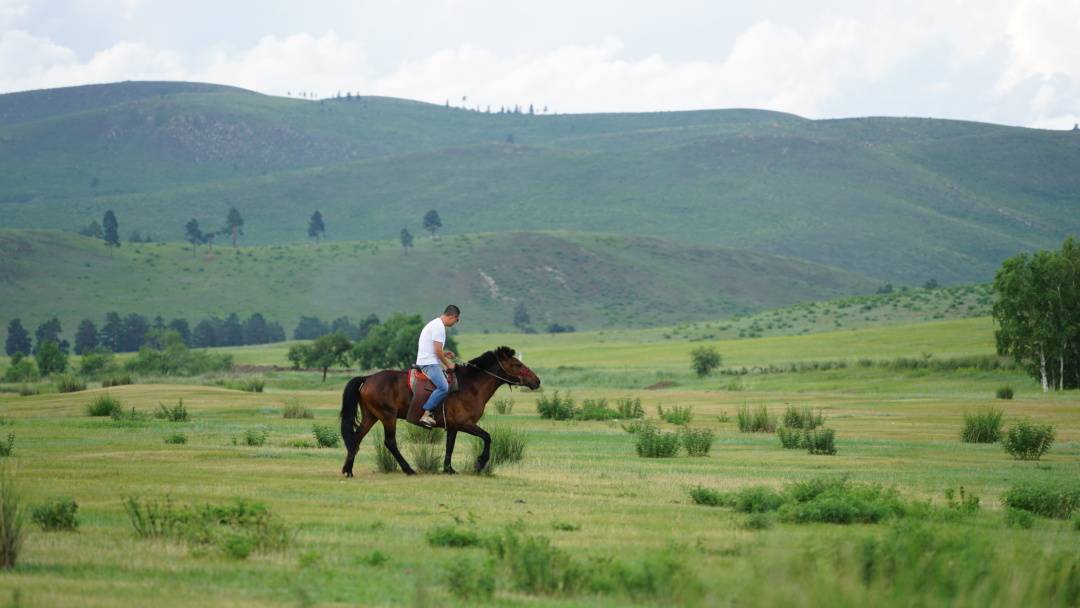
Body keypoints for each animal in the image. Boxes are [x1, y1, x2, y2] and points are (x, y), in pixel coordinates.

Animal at [336, 347, 540, 475]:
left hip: (371, 416)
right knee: (390, 442)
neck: (470, 386)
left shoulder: (453, 427)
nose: (537, 381)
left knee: (356, 438)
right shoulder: (465, 424)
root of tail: (367, 378)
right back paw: (408, 469)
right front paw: (480, 463)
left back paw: (349, 470)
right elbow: (487, 437)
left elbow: (450, 446)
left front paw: (449, 469)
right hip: (387, 416)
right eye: (517, 365)